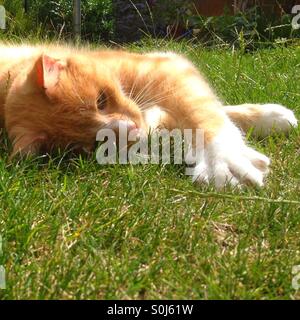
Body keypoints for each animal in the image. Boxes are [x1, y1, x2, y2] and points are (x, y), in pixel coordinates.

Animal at [0, 42, 296, 188]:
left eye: (101, 100)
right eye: (96, 142)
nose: (132, 130)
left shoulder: (166, 68)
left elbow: (202, 108)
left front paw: (224, 156)